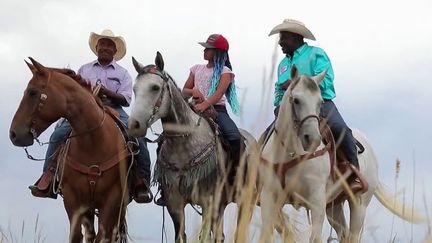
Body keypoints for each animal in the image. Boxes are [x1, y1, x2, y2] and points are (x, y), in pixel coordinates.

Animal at [8, 58, 132, 243]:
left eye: (32, 92)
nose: (14, 134)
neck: (94, 141)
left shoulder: (112, 199)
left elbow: (102, 236)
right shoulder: (73, 199)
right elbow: (77, 236)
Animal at [126, 52, 258, 242]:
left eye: (155, 87)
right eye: (135, 89)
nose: (134, 125)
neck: (184, 146)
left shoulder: (208, 201)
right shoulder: (175, 204)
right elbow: (182, 236)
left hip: (245, 200)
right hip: (221, 205)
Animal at [258, 65, 424, 242]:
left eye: (320, 102)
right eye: (296, 100)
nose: (313, 138)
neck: (291, 152)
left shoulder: (317, 200)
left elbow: (315, 237)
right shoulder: (269, 199)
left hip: (359, 204)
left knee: (353, 234)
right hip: (334, 206)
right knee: (343, 233)